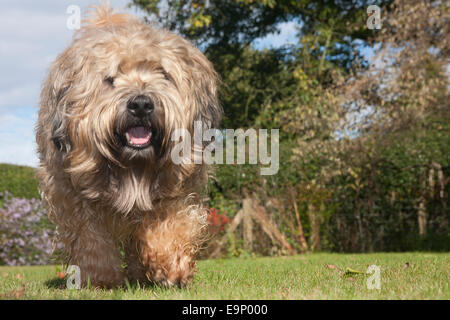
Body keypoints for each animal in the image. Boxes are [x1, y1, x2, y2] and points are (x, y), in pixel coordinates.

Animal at [36, 3, 221, 288]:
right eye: (110, 79)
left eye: (164, 75)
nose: (141, 104)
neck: (133, 167)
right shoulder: (69, 193)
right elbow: (90, 238)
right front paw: (101, 277)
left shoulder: (177, 185)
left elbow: (173, 222)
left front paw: (171, 266)